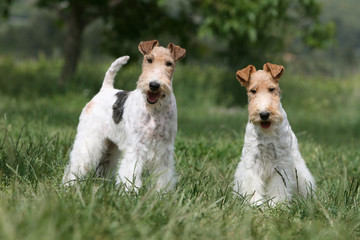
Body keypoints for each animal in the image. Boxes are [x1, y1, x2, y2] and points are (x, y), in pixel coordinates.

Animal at [62, 40, 186, 191]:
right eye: (149, 59)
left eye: (169, 63)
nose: (154, 85)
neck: (154, 110)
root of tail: (105, 89)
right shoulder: (136, 147)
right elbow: (131, 171)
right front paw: (131, 192)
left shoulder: (164, 150)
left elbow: (163, 176)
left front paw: (161, 193)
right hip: (90, 139)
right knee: (78, 162)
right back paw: (70, 184)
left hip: (111, 146)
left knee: (103, 166)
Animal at [233, 62, 316, 204]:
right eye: (253, 91)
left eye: (271, 89)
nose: (264, 114)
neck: (267, 132)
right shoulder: (252, 160)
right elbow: (253, 185)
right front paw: (255, 203)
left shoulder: (280, 162)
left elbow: (279, 186)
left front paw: (277, 204)